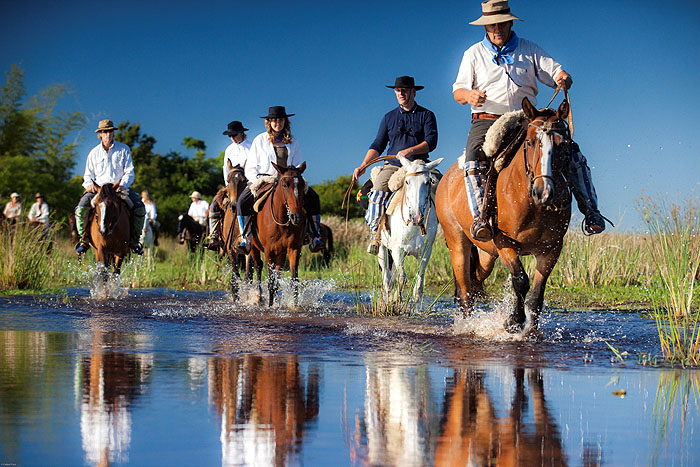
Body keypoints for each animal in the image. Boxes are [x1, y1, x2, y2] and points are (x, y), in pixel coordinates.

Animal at [249, 162, 308, 308]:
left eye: (302, 184)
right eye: (285, 184)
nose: (297, 216)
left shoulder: (293, 249)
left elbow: (294, 281)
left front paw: (294, 306)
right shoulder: (268, 251)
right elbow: (270, 282)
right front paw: (270, 306)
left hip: (280, 253)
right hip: (253, 248)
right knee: (258, 266)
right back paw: (259, 297)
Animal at [378, 156, 442, 308]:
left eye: (428, 181)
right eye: (407, 182)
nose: (417, 217)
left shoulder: (425, 253)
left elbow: (419, 282)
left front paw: (416, 309)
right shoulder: (397, 250)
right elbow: (402, 277)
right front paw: (395, 300)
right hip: (382, 249)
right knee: (387, 278)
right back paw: (387, 300)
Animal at [438, 98, 576, 332]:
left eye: (563, 144)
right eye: (530, 142)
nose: (544, 192)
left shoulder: (552, 248)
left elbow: (537, 296)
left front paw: (530, 331)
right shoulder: (504, 242)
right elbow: (520, 280)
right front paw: (514, 321)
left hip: (486, 254)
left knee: (475, 281)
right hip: (457, 244)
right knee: (465, 292)